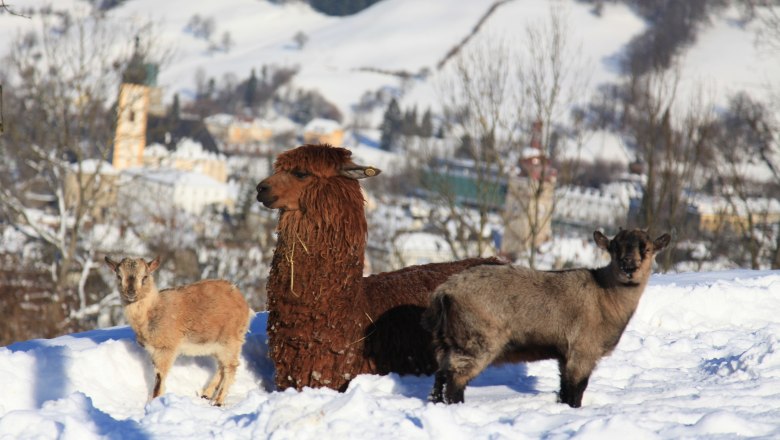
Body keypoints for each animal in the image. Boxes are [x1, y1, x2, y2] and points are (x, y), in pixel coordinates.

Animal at [105, 256, 251, 406]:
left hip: (230, 340)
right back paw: (206, 394)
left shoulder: (166, 348)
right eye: (119, 276)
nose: (131, 293)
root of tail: (243, 303)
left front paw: (154, 402)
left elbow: (159, 378)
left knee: (231, 368)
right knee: (222, 367)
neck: (152, 311)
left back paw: (218, 401)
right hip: (217, 344)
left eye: (145, 276)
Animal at [422, 228, 671, 407]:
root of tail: (445, 292)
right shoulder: (583, 350)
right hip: (478, 339)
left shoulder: (565, 354)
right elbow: (576, 390)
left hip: (448, 339)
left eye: (647, 249)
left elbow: (564, 389)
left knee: (441, 374)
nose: (629, 266)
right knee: (456, 379)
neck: (604, 296)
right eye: (614, 248)